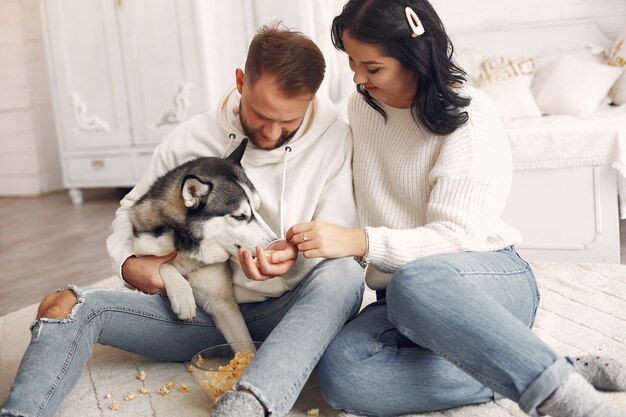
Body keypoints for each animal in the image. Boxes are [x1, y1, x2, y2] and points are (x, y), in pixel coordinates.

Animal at [128, 140, 274, 352]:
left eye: (257, 208)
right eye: (239, 216)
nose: (275, 242)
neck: (187, 248)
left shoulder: (221, 302)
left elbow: (245, 345)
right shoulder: (145, 247)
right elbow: (163, 264)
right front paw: (183, 295)